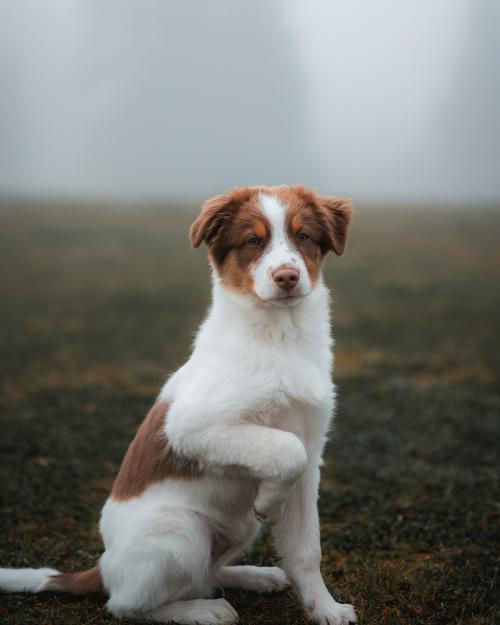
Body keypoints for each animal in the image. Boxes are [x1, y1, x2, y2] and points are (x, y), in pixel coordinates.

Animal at [0, 185, 360, 624]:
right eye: (252, 241)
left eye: (303, 236)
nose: (287, 277)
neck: (278, 337)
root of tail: (102, 568)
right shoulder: (192, 427)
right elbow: (285, 450)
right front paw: (267, 500)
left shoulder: (312, 451)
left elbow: (307, 547)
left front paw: (323, 608)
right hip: (181, 531)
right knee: (126, 605)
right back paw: (203, 610)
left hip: (238, 527)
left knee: (206, 572)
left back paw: (253, 576)